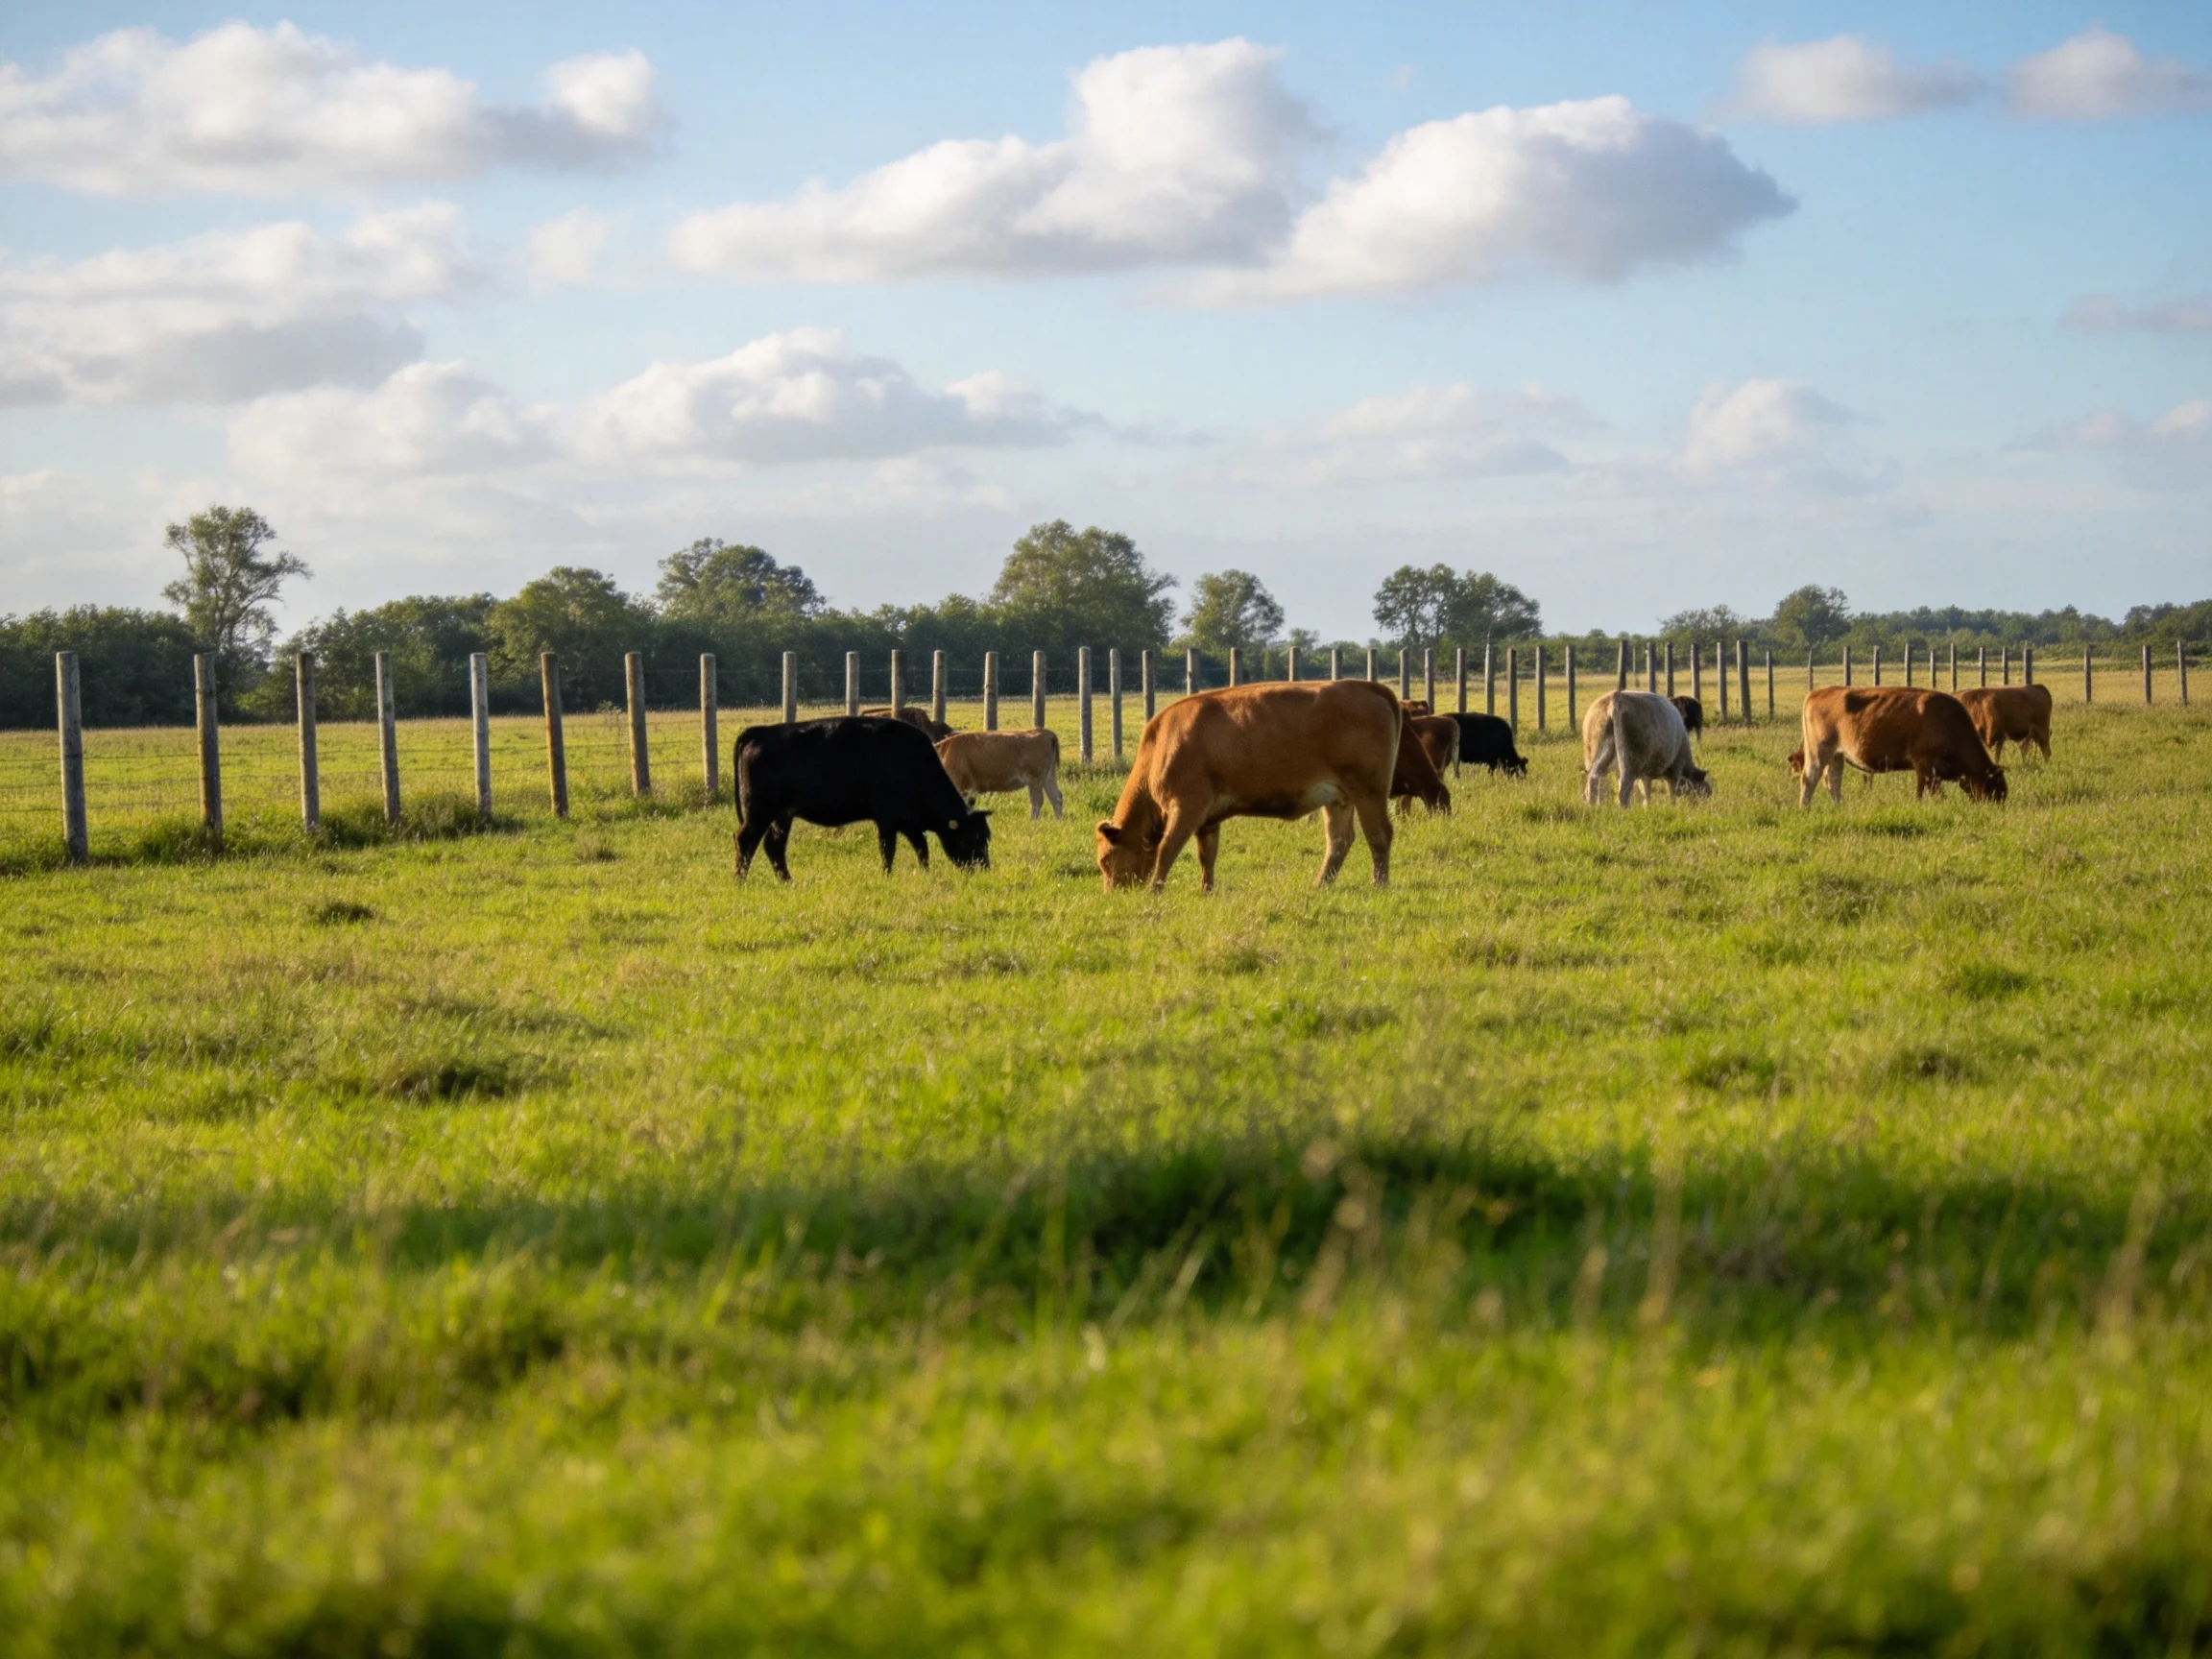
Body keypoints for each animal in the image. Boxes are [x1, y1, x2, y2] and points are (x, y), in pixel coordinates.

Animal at [734, 717, 991, 880]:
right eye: (973, 837)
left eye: (987, 836)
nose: (985, 868)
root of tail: (759, 732)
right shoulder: (887, 819)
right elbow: (889, 849)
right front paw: (887, 876)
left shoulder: (908, 822)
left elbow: (921, 847)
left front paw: (924, 873)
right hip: (759, 812)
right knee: (746, 840)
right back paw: (740, 881)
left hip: (782, 815)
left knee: (774, 846)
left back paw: (788, 881)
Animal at [936, 728, 1064, 820]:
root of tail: (1046, 733)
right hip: (1048, 778)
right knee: (1056, 798)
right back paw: (1057, 822)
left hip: (1034, 781)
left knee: (1037, 801)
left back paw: (1032, 822)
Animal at [1096, 680, 1400, 893]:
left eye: (1105, 860)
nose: (1112, 892)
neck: (1161, 745)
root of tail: (1365, 686)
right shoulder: (1208, 819)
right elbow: (1207, 855)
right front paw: (1206, 890)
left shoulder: (1186, 806)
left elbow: (1167, 849)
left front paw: (1155, 891)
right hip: (1339, 798)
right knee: (1339, 840)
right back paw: (1321, 884)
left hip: (1369, 792)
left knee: (1379, 835)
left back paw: (1379, 883)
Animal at [1583, 690, 1710, 807]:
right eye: (1702, 788)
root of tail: (1616, 698)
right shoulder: (1675, 769)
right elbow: (1671, 792)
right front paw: (1672, 807)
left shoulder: (1645, 774)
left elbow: (1647, 793)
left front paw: (1646, 808)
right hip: (1629, 759)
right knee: (1623, 790)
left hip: (1595, 754)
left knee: (1592, 781)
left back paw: (1593, 807)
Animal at [1797, 686, 2005, 806]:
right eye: (1994, 787)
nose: (1997, 807)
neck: (1950, 724)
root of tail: (1815, 693)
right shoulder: (1924, 764)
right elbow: (1925, 790)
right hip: (1819, 752)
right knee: (1809, 779)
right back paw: (1804, 808)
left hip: (1836, 755)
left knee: (1833, 781)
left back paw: (1840, 807)